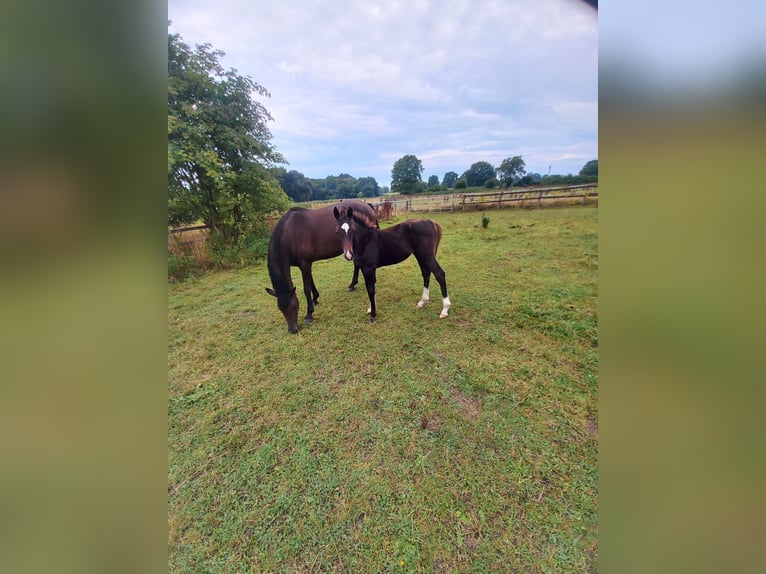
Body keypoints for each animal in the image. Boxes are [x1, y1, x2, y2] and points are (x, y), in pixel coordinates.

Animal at [266, 200, 378, 333]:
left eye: (294, 306)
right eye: (280, 308)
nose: (292, 330)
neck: (290, 233)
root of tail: (367, 206)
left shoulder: (305, 263)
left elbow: (306, 289)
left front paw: (309, 315)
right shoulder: (305, 264)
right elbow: (311, 282)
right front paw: (315, 299)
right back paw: (353, 285)